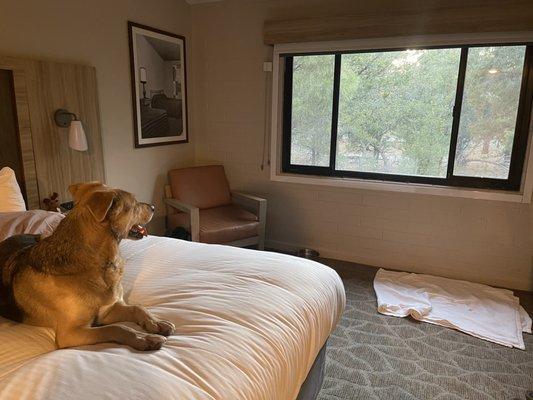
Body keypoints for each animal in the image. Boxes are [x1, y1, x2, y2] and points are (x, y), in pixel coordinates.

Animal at [0, 184, 175, 350]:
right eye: (133, 204)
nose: (154, 207)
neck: (99, 264)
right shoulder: (71, 333)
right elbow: (116, 328)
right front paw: (143, 338)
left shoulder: (107, 310)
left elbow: (137, 308)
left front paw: (155, 323)